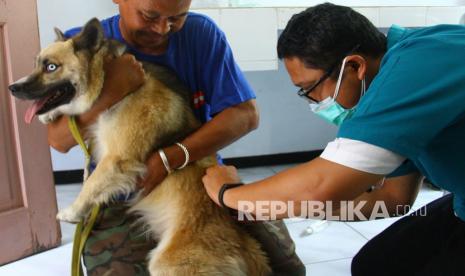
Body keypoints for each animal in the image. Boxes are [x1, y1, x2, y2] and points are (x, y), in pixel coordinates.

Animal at [7, 18, 270, 274]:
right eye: (36, 64)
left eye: (51, 67)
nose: (12, 88)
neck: (110, 87)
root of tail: (244, 246)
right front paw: (49, 116)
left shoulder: (117, 159)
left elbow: (90, 185)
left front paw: (72, 212)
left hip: (168, 264)